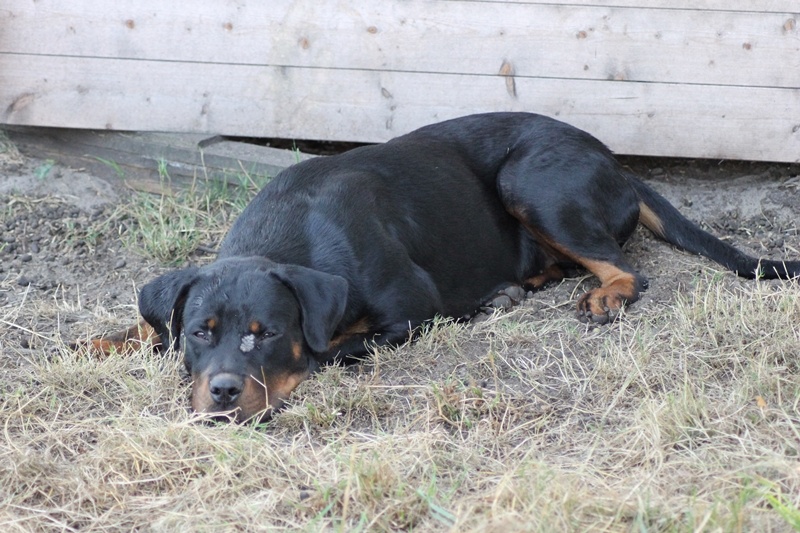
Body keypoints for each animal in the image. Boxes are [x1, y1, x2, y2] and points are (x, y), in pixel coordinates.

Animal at [126, 111, 800, 420]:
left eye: (266, 335)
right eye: (199, 333)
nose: (221, 392)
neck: (289, 239)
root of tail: (617, 163)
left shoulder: (409, 312)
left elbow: (337, 348)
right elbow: (142, 325)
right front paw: (117, 339)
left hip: (531, 181)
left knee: (621, 266)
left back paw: (598, 294)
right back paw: (513, 288)